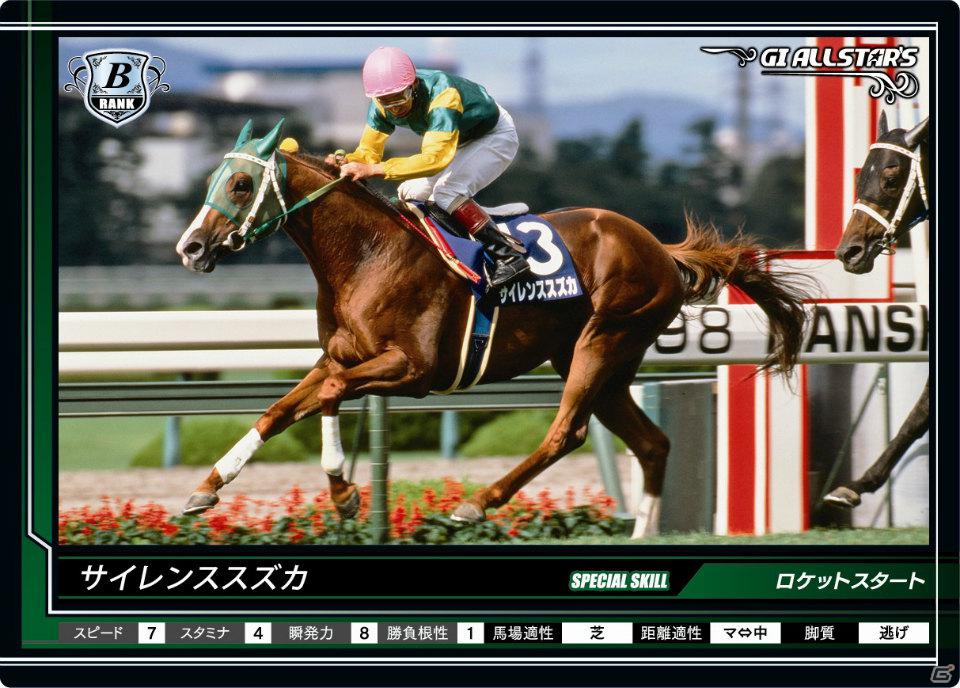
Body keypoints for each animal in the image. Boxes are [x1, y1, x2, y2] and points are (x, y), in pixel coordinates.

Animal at [175, 118, 810, 539]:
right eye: (212, 179)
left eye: (239, 185)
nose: (191, 247)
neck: (366, 255)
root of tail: (659, 247)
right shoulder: (340, 358)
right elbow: (278, 411)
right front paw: (205, 488)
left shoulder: (411, 369)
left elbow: (329, 396)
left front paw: (344, 493)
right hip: (602, 361)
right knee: (652, 443)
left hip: (603, 341)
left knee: (566, 432)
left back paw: (478, 503)